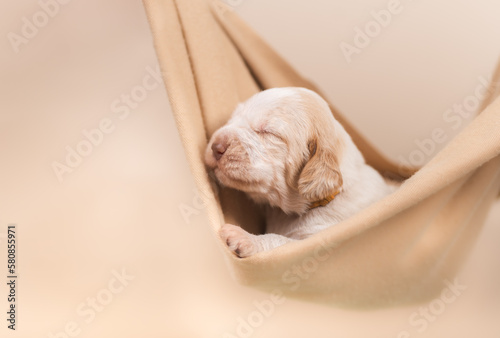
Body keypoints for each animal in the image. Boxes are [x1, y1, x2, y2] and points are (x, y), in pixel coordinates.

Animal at [204, 88, 398, 258]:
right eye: (232, 118)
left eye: (267, 131)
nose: (215, 146)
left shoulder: (318, 237)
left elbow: (281, 241)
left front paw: (245, 238)